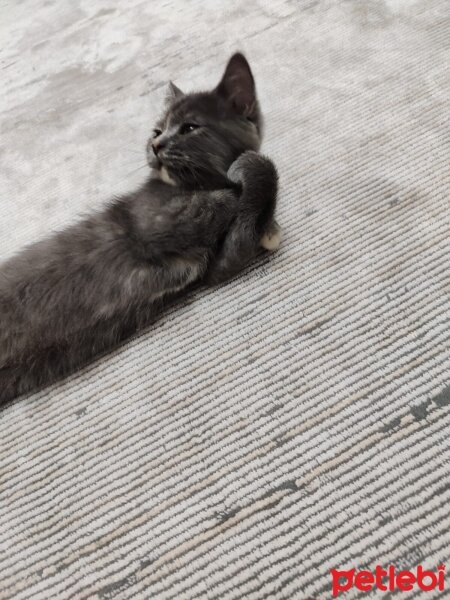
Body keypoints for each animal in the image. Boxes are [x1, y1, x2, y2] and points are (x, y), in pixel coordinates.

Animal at [0, 54, 280, 406]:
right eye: (157, 130)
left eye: (190, 127)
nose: (155, 143)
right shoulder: (157, 221)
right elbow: (240, 183)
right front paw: (247, 187)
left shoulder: (221, 261)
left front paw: (267, 224)